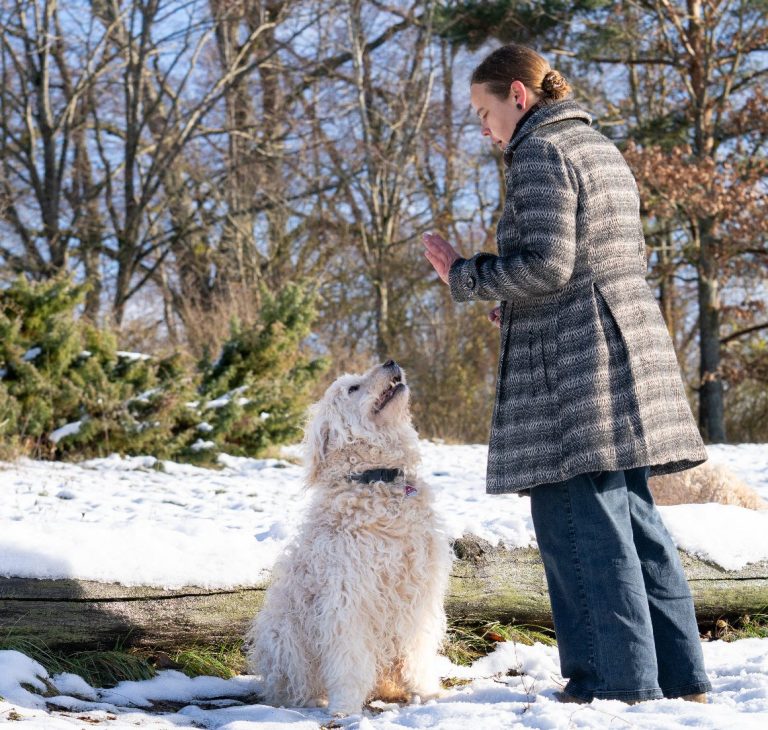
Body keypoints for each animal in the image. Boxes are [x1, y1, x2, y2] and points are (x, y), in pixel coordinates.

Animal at [244, 358, 450, 712]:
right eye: (352, 388)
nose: (391, 361)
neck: (377, 478)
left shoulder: (419, 595)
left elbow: (417, 652)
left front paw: (426, 692)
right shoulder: (347, 597)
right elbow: (349, 660)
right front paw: (345, 708)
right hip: (283, 635)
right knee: (297, 683)